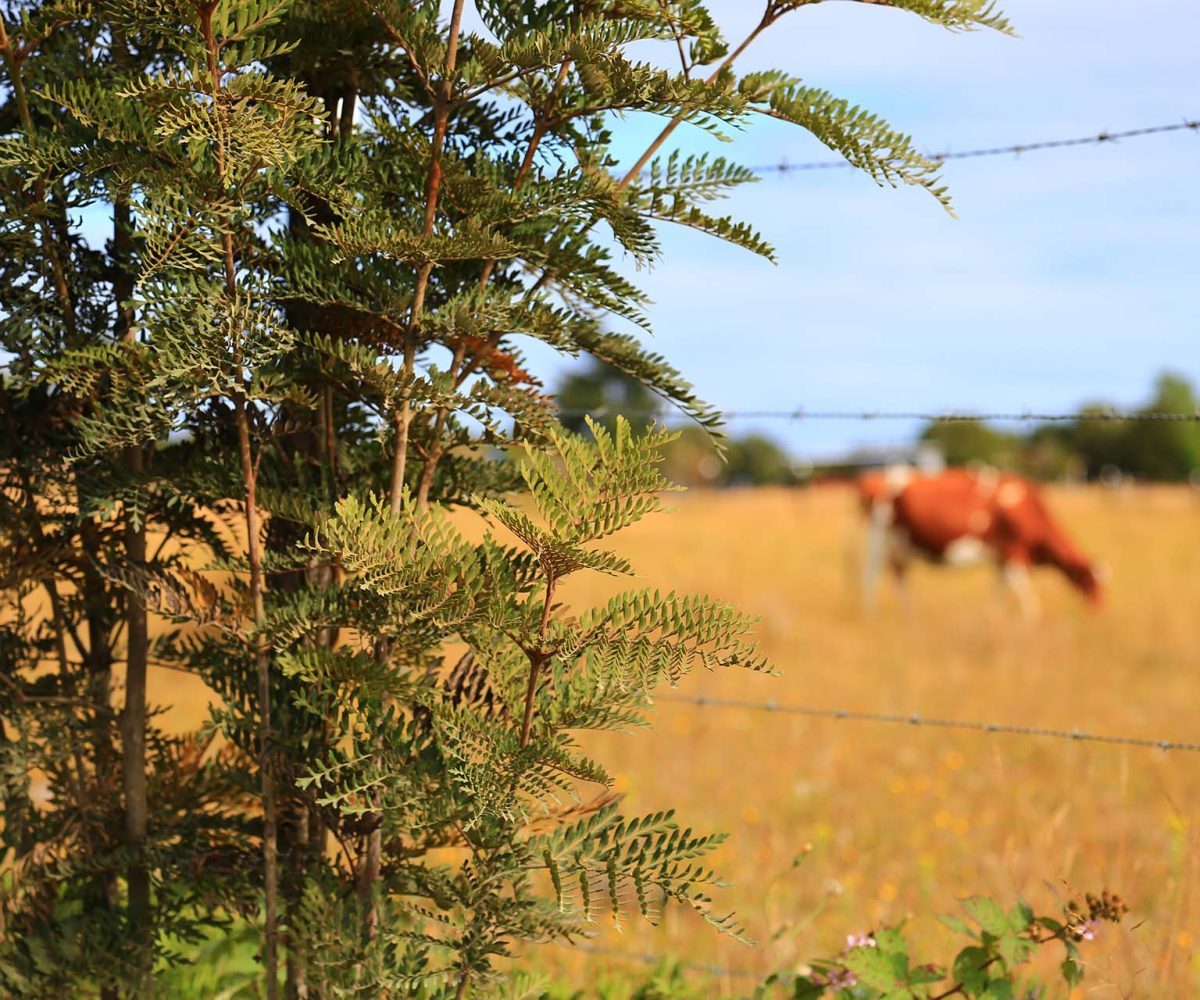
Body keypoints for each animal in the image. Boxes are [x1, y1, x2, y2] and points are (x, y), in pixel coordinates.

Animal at [859, 465, 1099, 614]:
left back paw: (910, 615)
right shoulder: (1014, 553)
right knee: (872, 577)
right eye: (1090, 584)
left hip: (900, 547)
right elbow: (1024, 592)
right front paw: (1032, 620)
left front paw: (993, 617)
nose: (1097, 611)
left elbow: (999, 591)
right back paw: (871, 614)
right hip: (880, 540)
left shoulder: (1002, 559)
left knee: (900, 577)